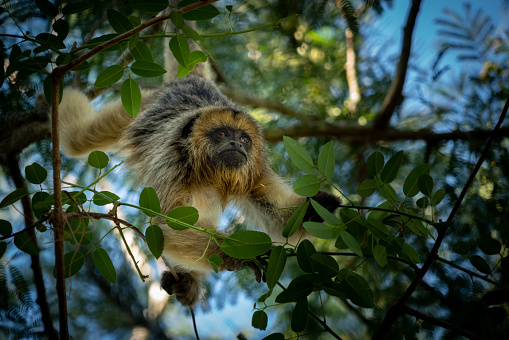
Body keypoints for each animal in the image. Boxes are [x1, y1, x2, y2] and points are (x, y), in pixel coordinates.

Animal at [55, 76, 340, 306]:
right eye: (222, 134)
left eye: (244, 139)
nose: (237, 144)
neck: (212, 175)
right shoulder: (172, 164)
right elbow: (165, 228)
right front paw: (246, 257)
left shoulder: (255, 173)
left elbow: (281, 223)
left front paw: (321, 206)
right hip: (139, 103)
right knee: (78, 138)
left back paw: (187, 281)